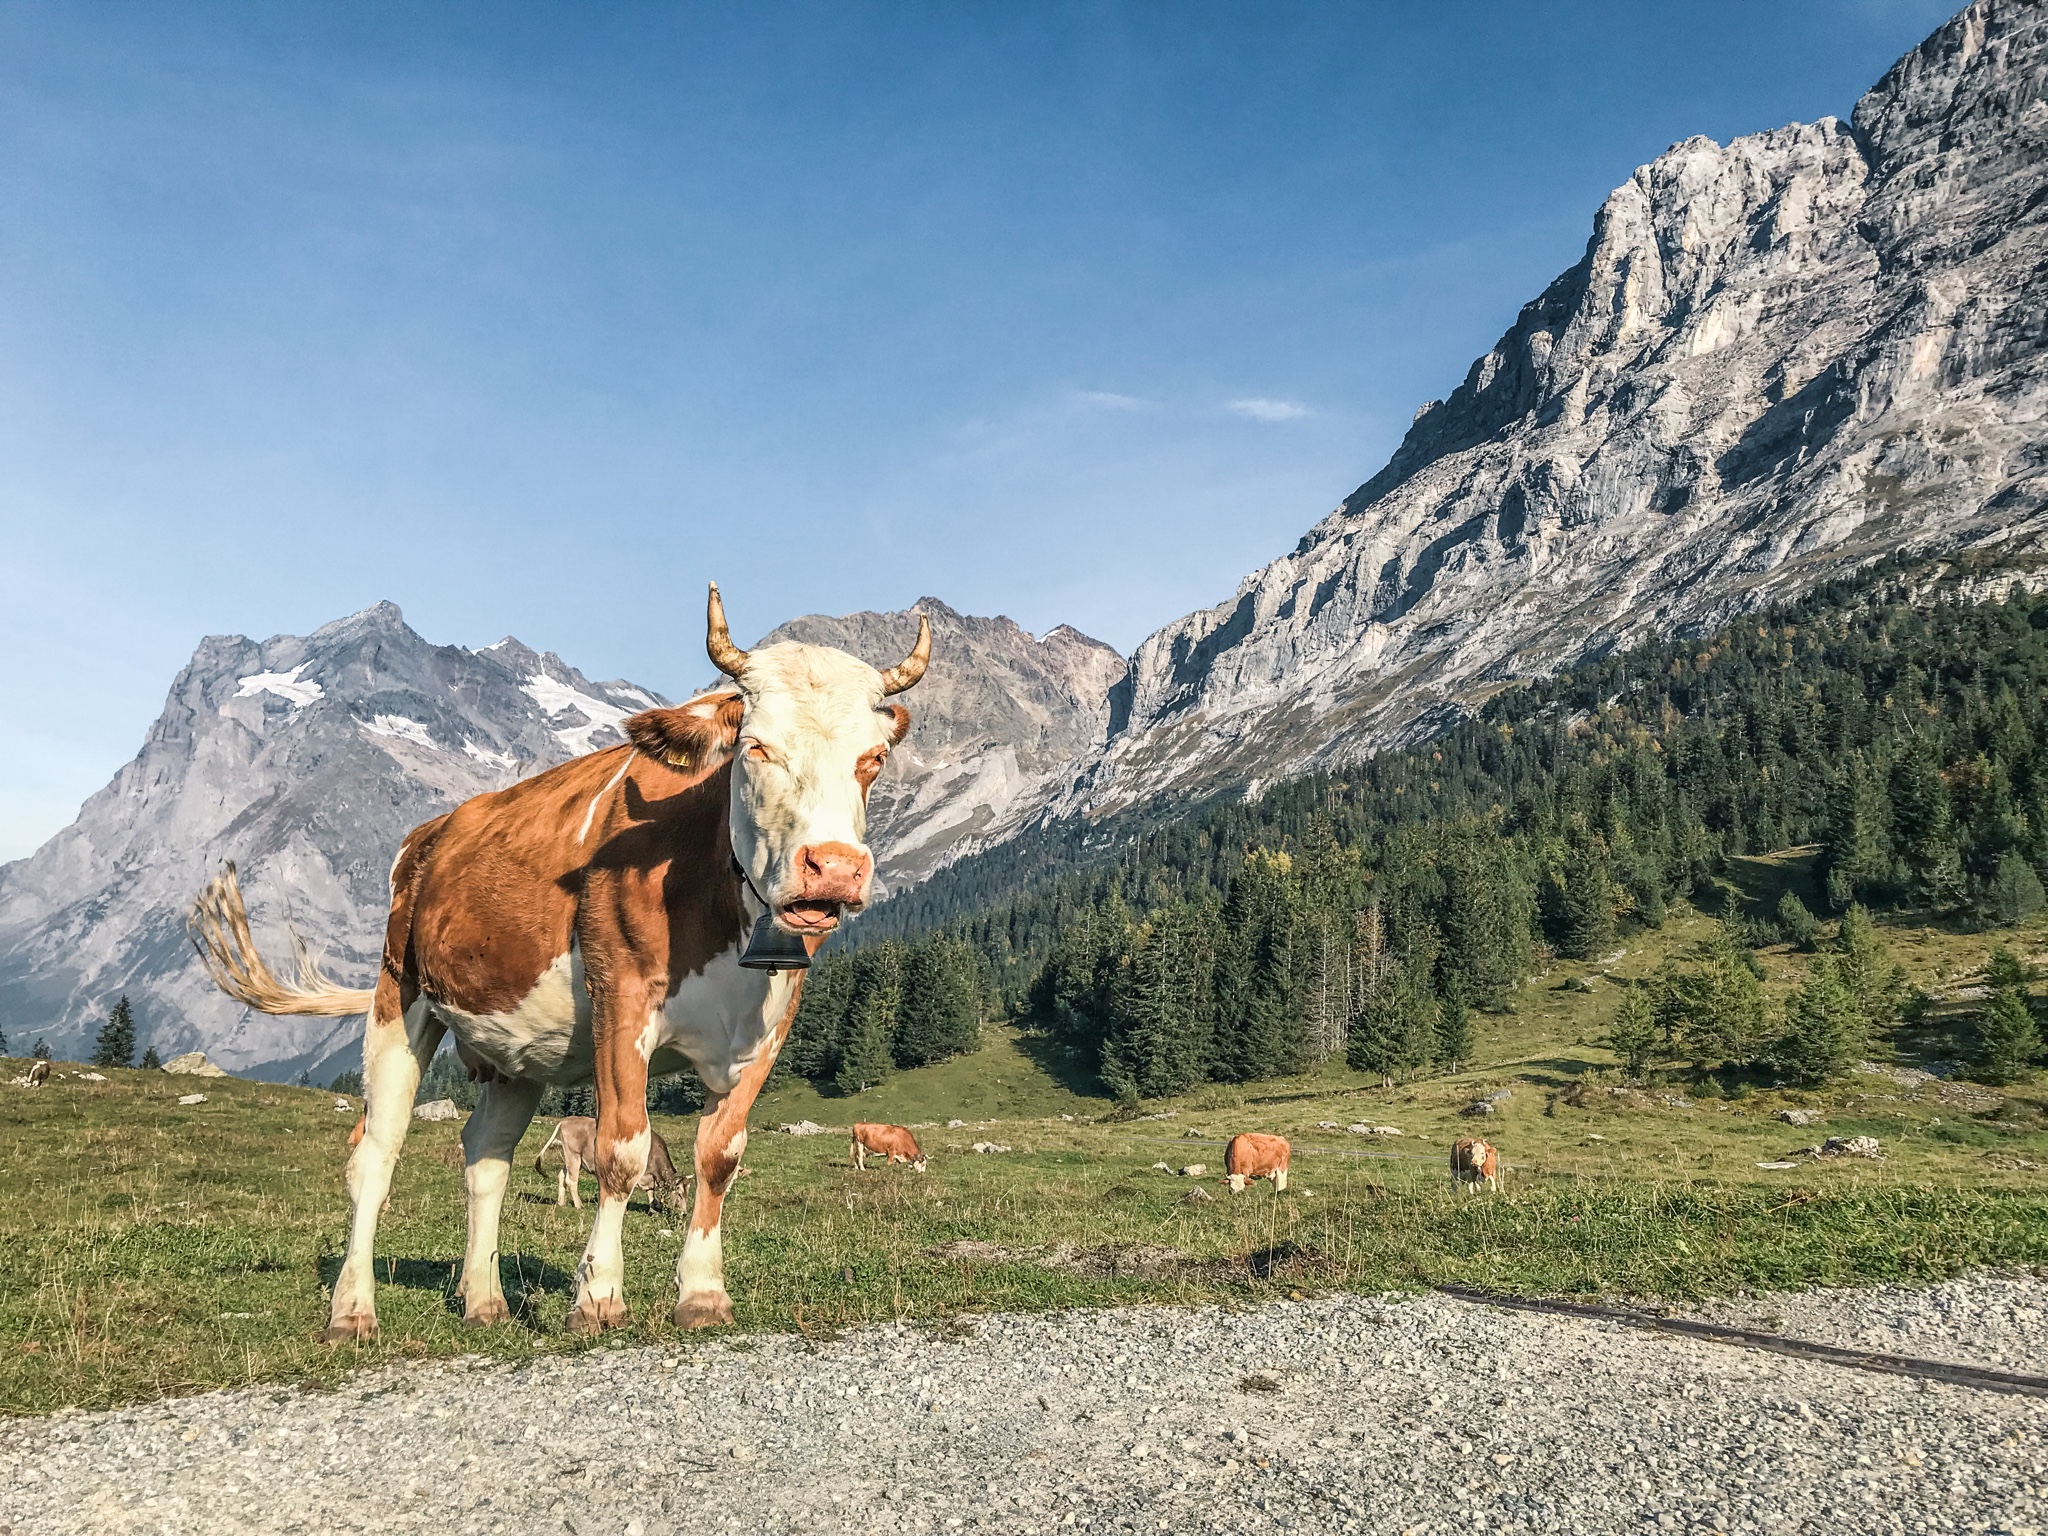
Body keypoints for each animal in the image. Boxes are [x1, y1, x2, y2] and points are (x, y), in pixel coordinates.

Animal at [540, 1122, 692, 1212]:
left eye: (688, 1193)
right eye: (679, 1193)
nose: (684, 1213)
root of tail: (567, 1120)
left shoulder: (649, 1177)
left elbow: (650, 1193)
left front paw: (654, 1210)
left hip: (572, 1160)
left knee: (562, 1175)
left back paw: (561, 1202)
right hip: (574, 1157)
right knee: (571, 1181)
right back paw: (578, 1205)